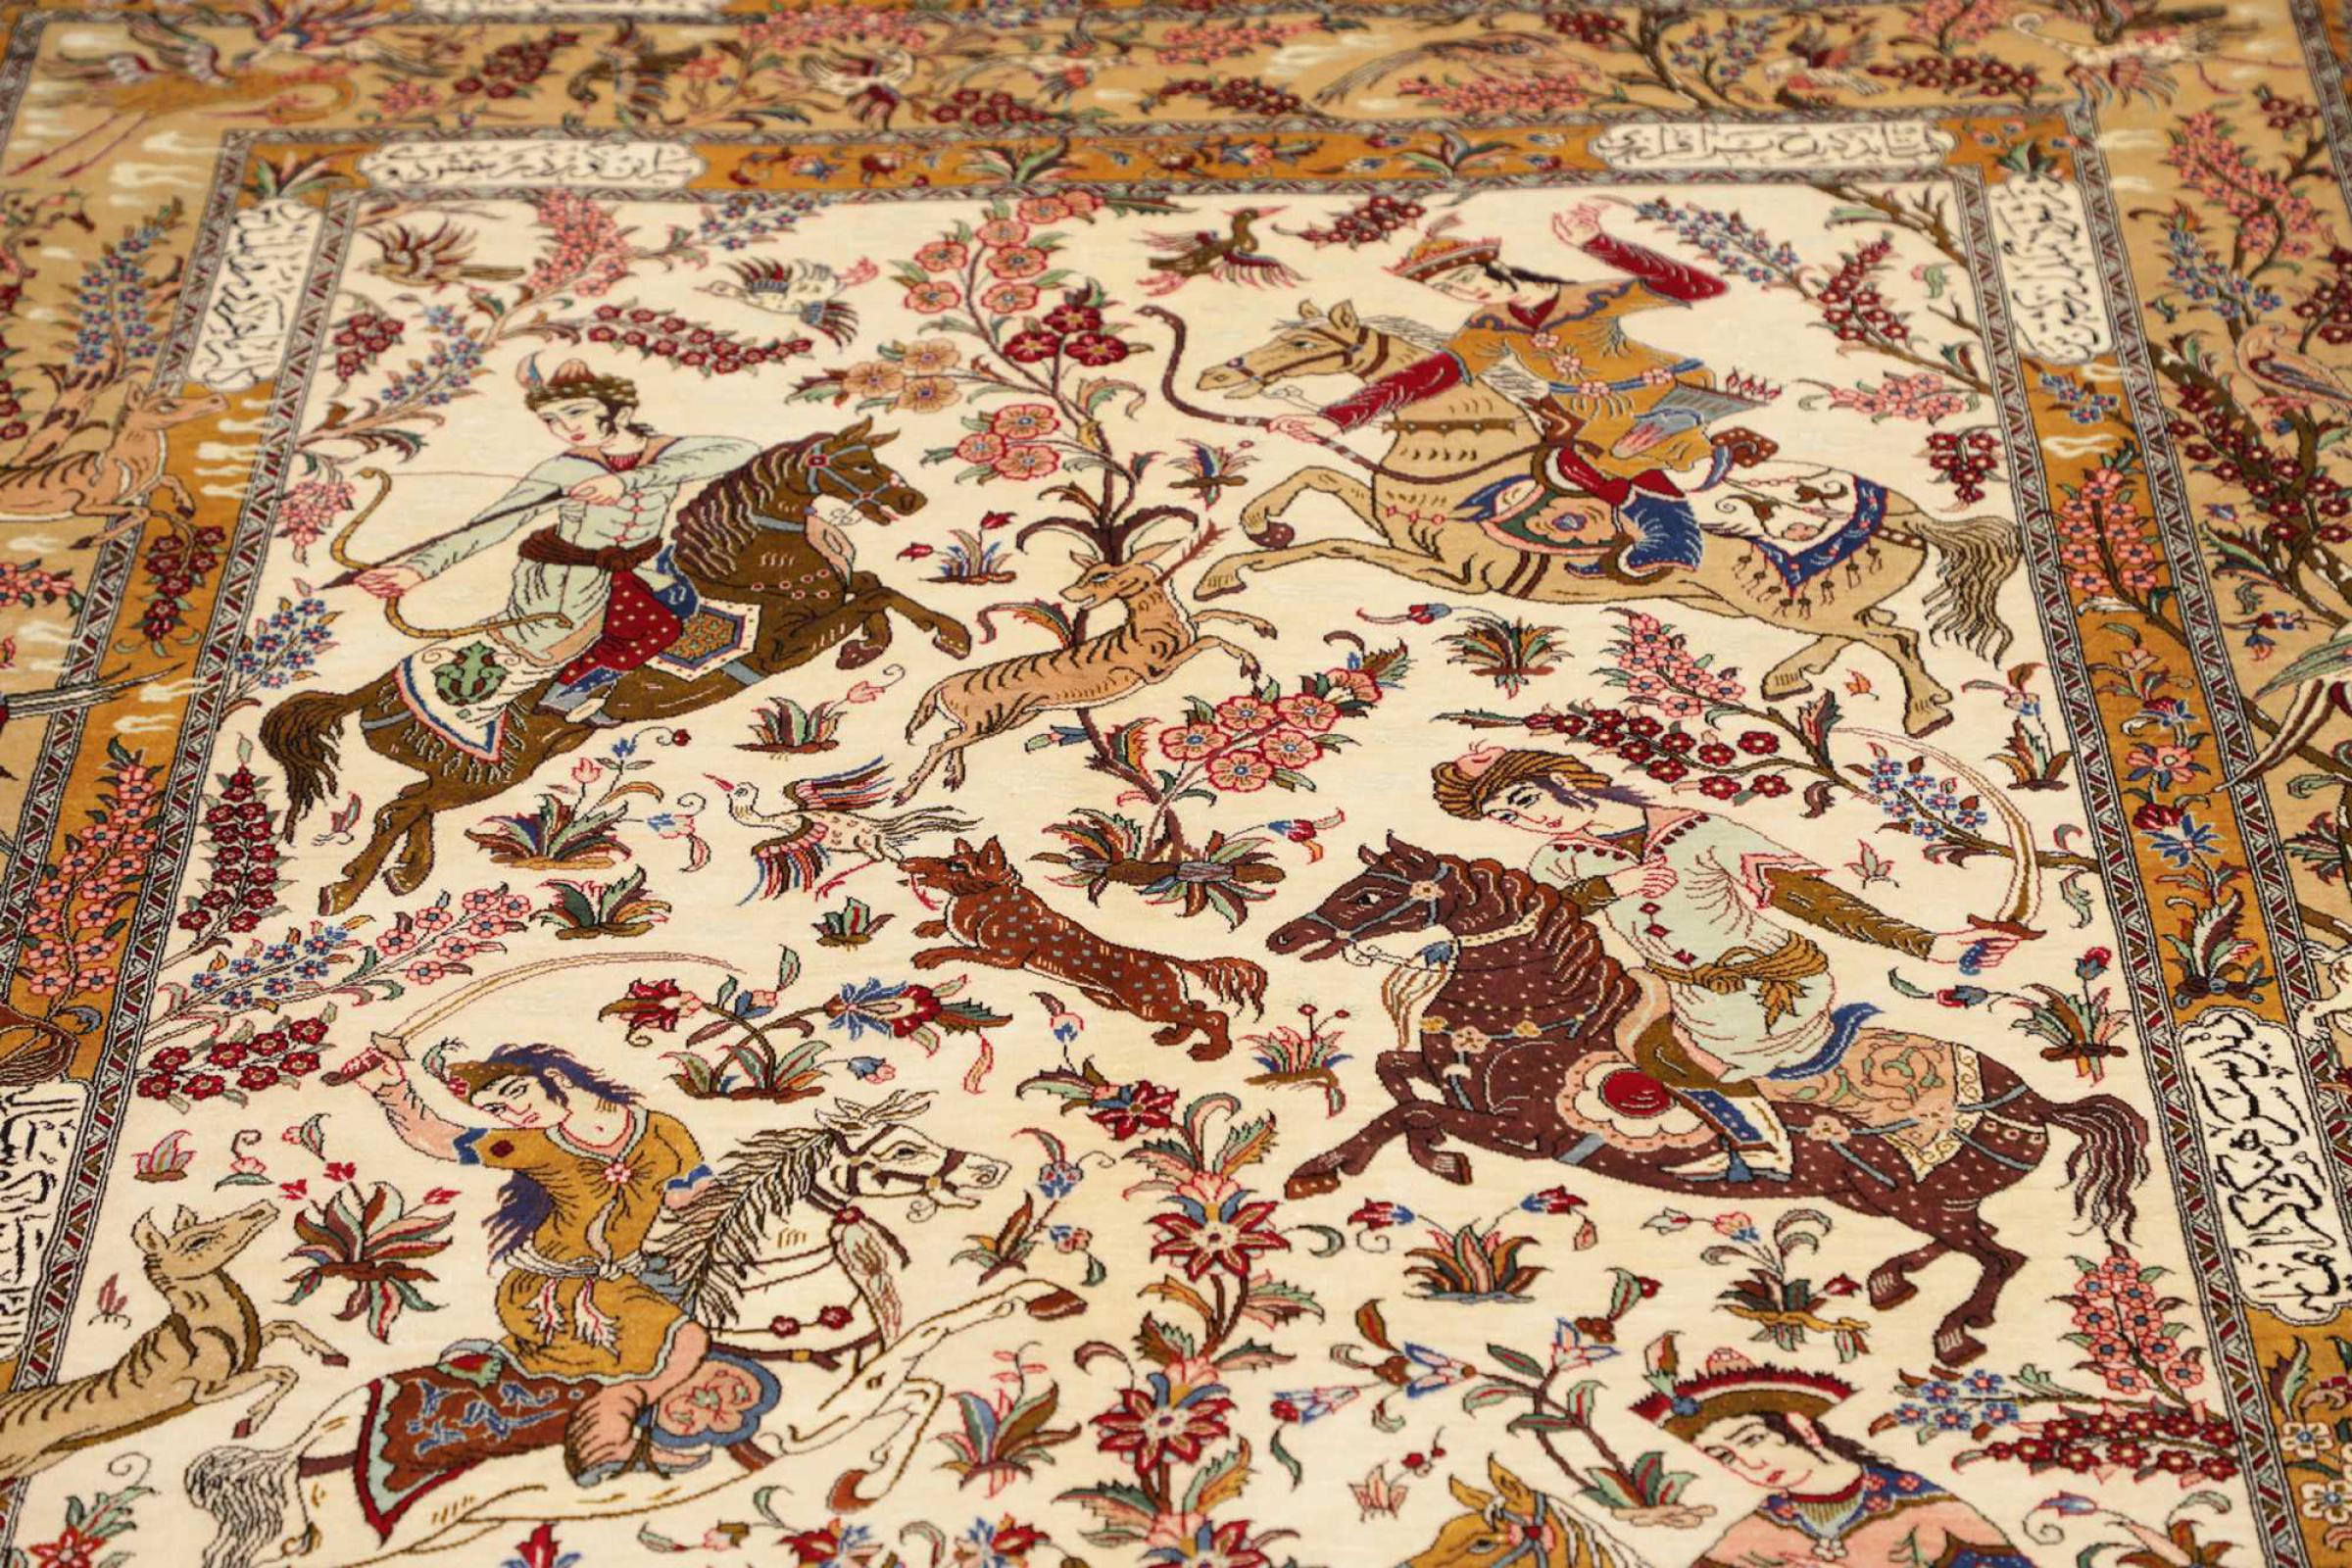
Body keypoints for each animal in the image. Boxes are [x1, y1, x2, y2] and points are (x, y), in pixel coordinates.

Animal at [186, 1094, 1084, 1568]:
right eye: (902, 1147)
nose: (990, 1169)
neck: (766, 1315)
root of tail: (313, 1444)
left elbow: (937, 1341)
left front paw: (1039, 1294)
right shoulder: (809, 1420)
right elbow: (925, 1367)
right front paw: (861, 1487)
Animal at [260, 420, 972, 915]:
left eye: (875, 458)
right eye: (855, 463)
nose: (910, 498)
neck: (746, 564)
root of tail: (372, 689)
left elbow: (872, 587)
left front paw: (891, 642)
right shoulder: (779, 651)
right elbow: (874, 594)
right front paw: (948, 636)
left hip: (494, 767)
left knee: (412, 805)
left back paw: (406, 873)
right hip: (491, 771)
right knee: (397, 811)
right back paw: (347, 892)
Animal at [1159, 301, 2022, 738]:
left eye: (1304, 340)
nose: (1218, 376)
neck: (1470, 451)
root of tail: (1911, 513)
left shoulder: (1443, 569)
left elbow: (1328, 541)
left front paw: (1231, 565)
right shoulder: (1392, 516)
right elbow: (1319, 477)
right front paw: (1255, 525)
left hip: (1777, 597)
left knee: (1892, 637)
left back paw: (1924, 710)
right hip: (1777, 600)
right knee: (1865, 628)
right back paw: (1789, 675)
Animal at [1267, 838, 2151, 1366]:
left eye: (1369, 893)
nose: (1284, 939)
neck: (1540, 1011)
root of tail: (2036, 1099)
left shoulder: (1525, 1133)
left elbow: (1408, 1111)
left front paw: (1332, 1170)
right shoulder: (1446, 1074)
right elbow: (1393, 1075)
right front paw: (1422, 1161)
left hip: (1917, 1194)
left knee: (2003, 1256)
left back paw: (1956, 1332)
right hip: (1890, 1194)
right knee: (1972, 1241)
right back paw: (1891, 1279)